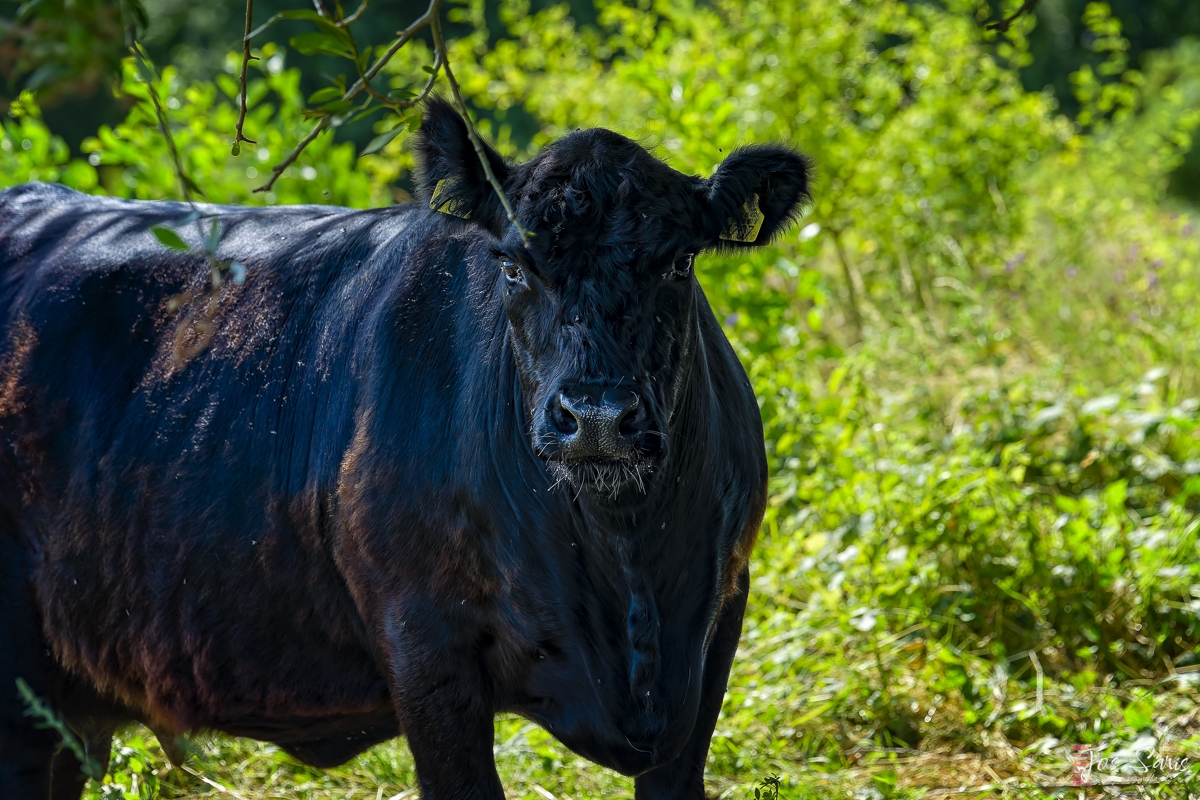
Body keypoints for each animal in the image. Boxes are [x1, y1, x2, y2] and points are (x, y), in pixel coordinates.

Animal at [0, 97, 811, 799]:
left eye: (679, 264)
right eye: (513, 265)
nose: (598, 415)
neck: (627, 567)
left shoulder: (713, 632)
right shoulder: (424, 646)